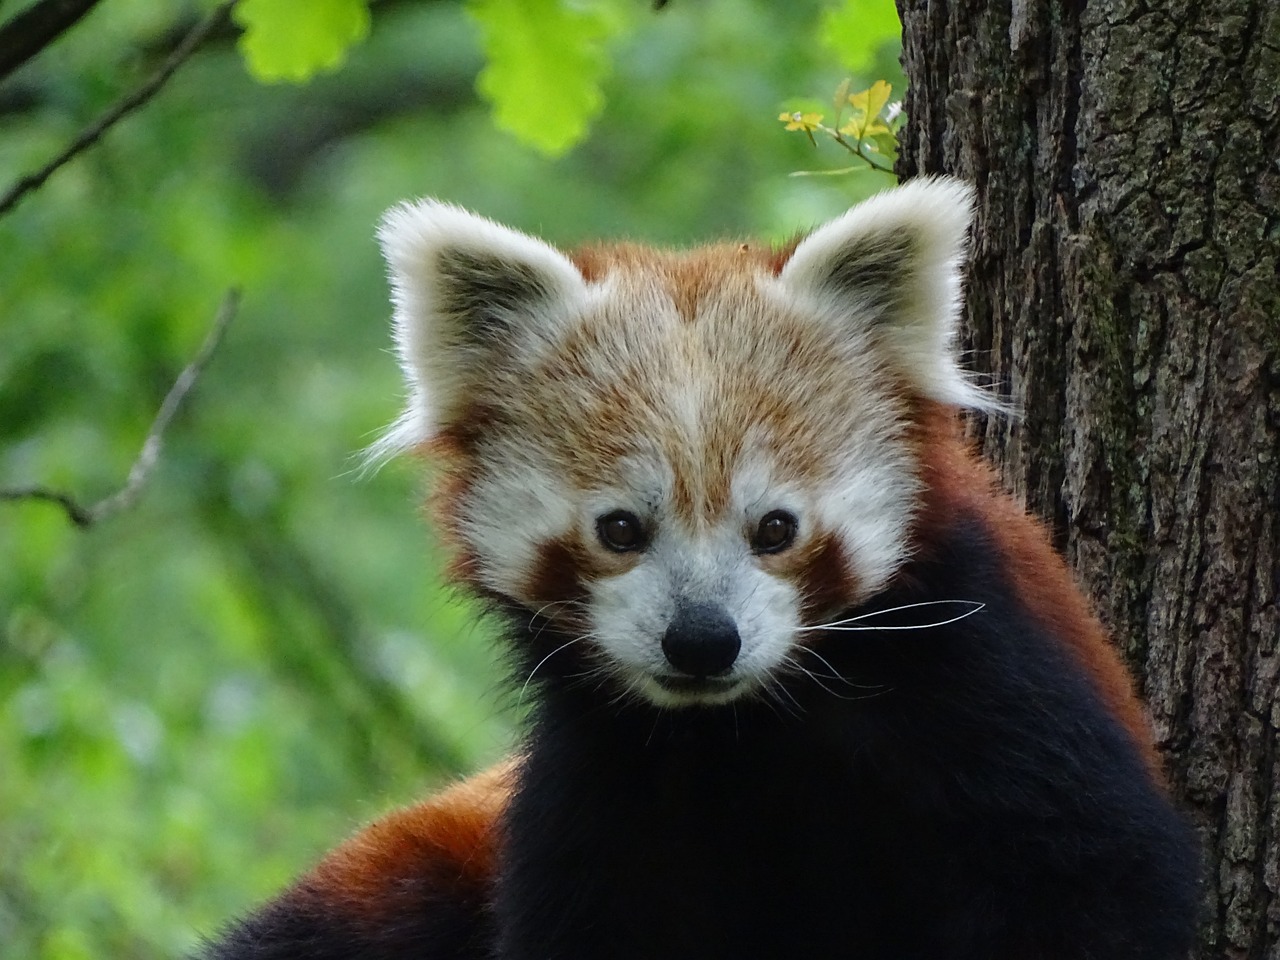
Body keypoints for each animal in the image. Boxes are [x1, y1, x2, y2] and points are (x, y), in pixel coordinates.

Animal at [199, 180, 1198, 960]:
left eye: (776, 528)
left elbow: (1083, 880)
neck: (746, 729)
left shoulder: (987, 685)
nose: (703, 641)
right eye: (619, 529)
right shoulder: (603, 775)